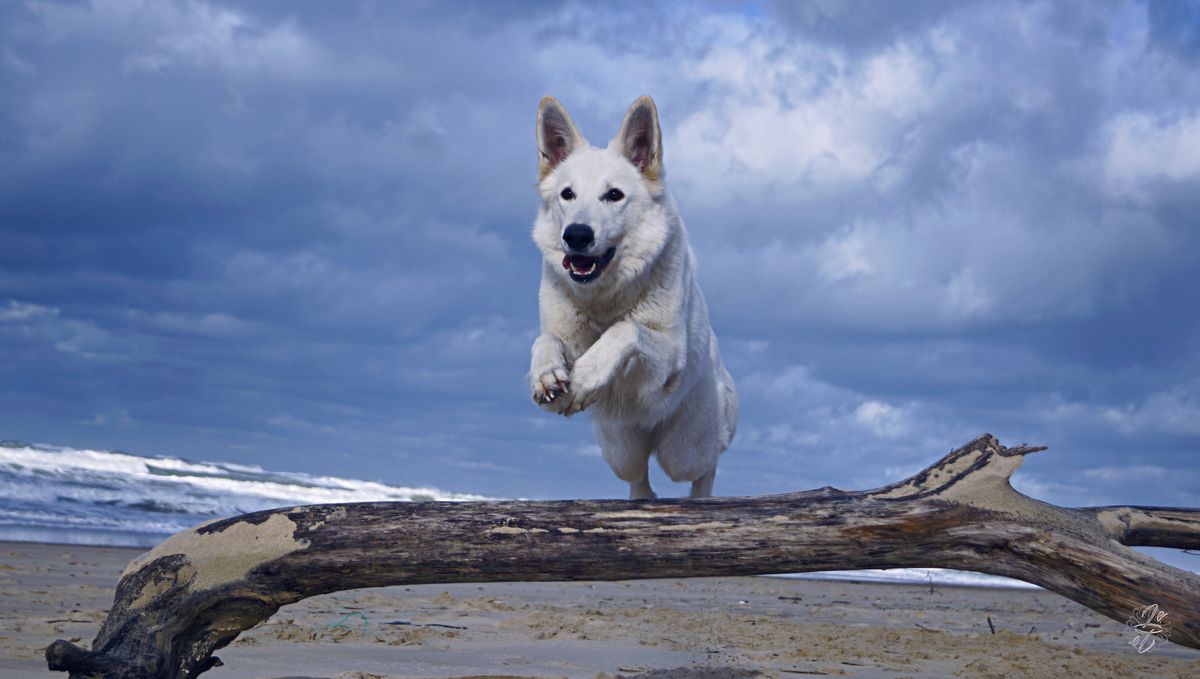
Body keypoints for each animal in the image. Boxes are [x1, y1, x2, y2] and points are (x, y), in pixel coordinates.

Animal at [528, 95, 734, 501]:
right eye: (567, 194)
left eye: (614, 195)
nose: (576, 235)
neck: (606, 296)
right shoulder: (566, 336)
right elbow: (545, 339)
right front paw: (546, 374)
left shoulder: (668, 352)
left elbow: (627, 330)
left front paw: (586, 377)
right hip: (621, 450)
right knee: (640, 479)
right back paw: (641, 498)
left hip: (685, 449)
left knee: (706, 462)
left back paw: (701, 496)